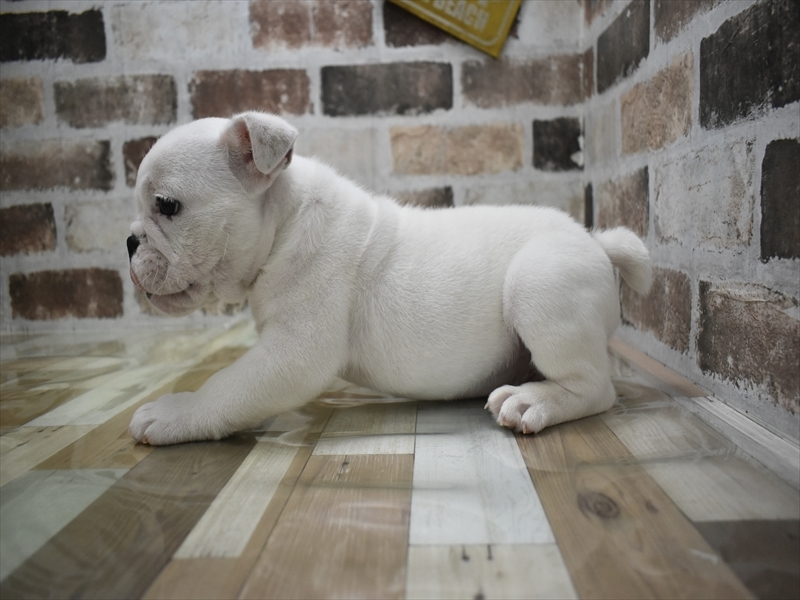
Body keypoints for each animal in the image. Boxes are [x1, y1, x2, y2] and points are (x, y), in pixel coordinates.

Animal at [127, 111, 652, 445]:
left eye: (167, 206)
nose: (130, 241)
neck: (284, 222)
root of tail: (596, 242)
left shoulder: (293, 351)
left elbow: (228, 385)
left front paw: (176, 412)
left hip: (539, 283)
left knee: (595, 387)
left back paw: (532, 402)